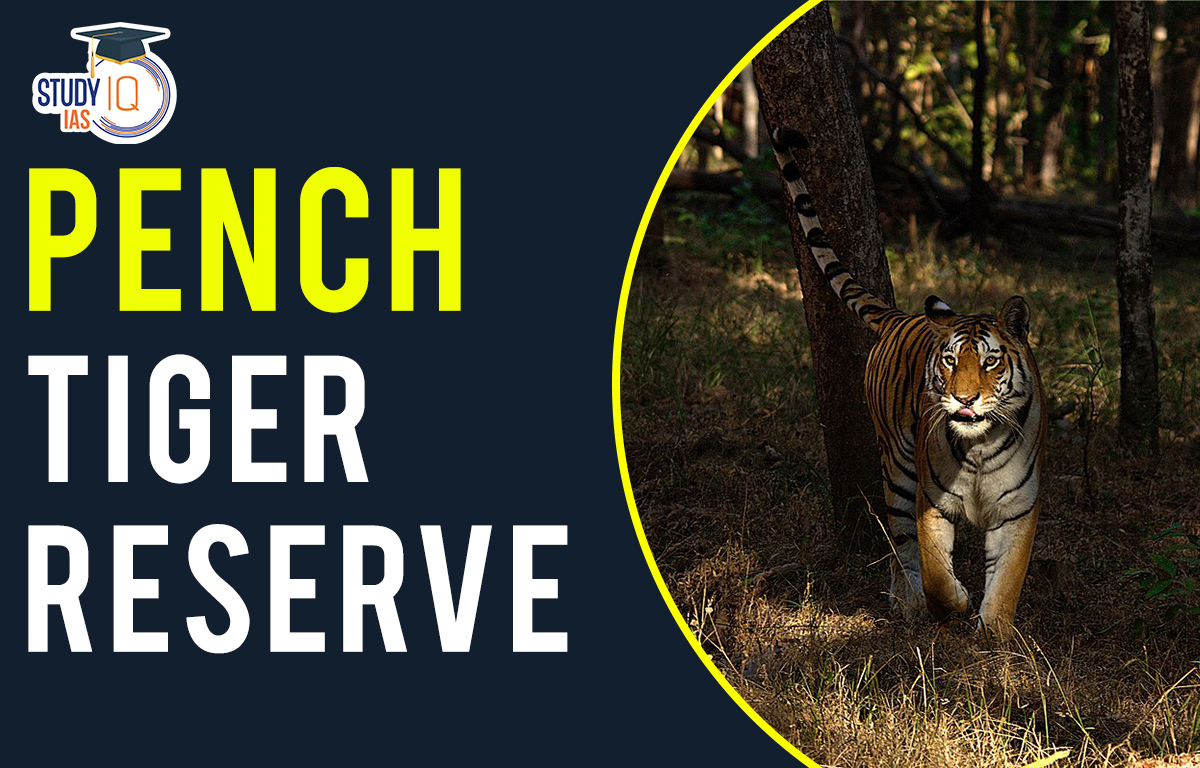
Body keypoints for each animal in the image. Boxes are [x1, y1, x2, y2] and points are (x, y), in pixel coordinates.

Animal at [769, 126, 1047, 640]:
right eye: (952, 361)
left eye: (991, 362)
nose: (964, 398)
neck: (978, 448)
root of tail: (899, 317)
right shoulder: (930, 501)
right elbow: (935, 566)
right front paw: (953, 603)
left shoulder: (1017, 509)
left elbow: (1008, 579)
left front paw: (996, 635)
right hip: (896, 467)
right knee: (901, 546)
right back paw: (909, 603)